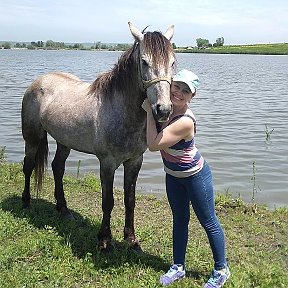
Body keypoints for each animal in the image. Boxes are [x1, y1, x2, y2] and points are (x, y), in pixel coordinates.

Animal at [20, 22, 176, 251]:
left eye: (173, 62)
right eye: (144, 62)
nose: (163, 110)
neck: (120, 110)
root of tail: (38, 82)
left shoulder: (134, 161)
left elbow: (130, 200)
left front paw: (131, 239)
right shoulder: (107, 163)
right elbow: (108, 201)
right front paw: (104, 240)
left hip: (64, 141)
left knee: (58, 168)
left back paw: (63, 210)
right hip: (32, 137)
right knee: (28, 166)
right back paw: (26, 203)